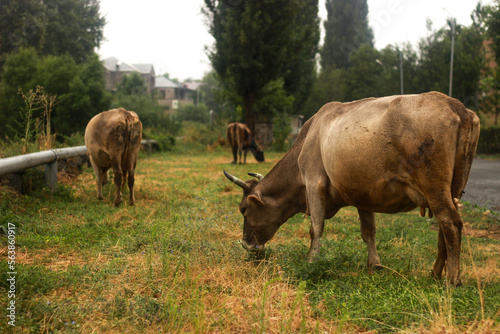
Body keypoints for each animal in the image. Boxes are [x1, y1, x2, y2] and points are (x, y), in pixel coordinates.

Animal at [225, 92, 478, 284]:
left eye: (244, 210)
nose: (246, 245)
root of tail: (454, 105)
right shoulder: (364, 195)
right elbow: (368, 231)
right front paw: (374, 265)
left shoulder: (314, 182)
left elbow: (316, 228)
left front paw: (311, 261)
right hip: (454, 189)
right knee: (444, 229)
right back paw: (435, 273)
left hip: (434, 186)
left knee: (450, 223)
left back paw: (452, 280)